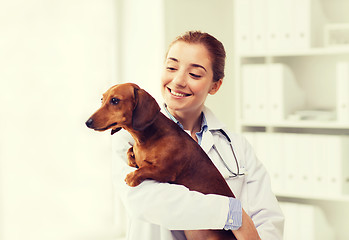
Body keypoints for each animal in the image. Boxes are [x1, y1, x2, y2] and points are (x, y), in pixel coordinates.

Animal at [85, 83, 237, 240]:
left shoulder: (166, 171)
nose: (87, 122)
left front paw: (132, 176)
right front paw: (132, 159)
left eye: (115, 100)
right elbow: (130, 152)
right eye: (102, 99)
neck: (149, 136)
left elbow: (145, 169)